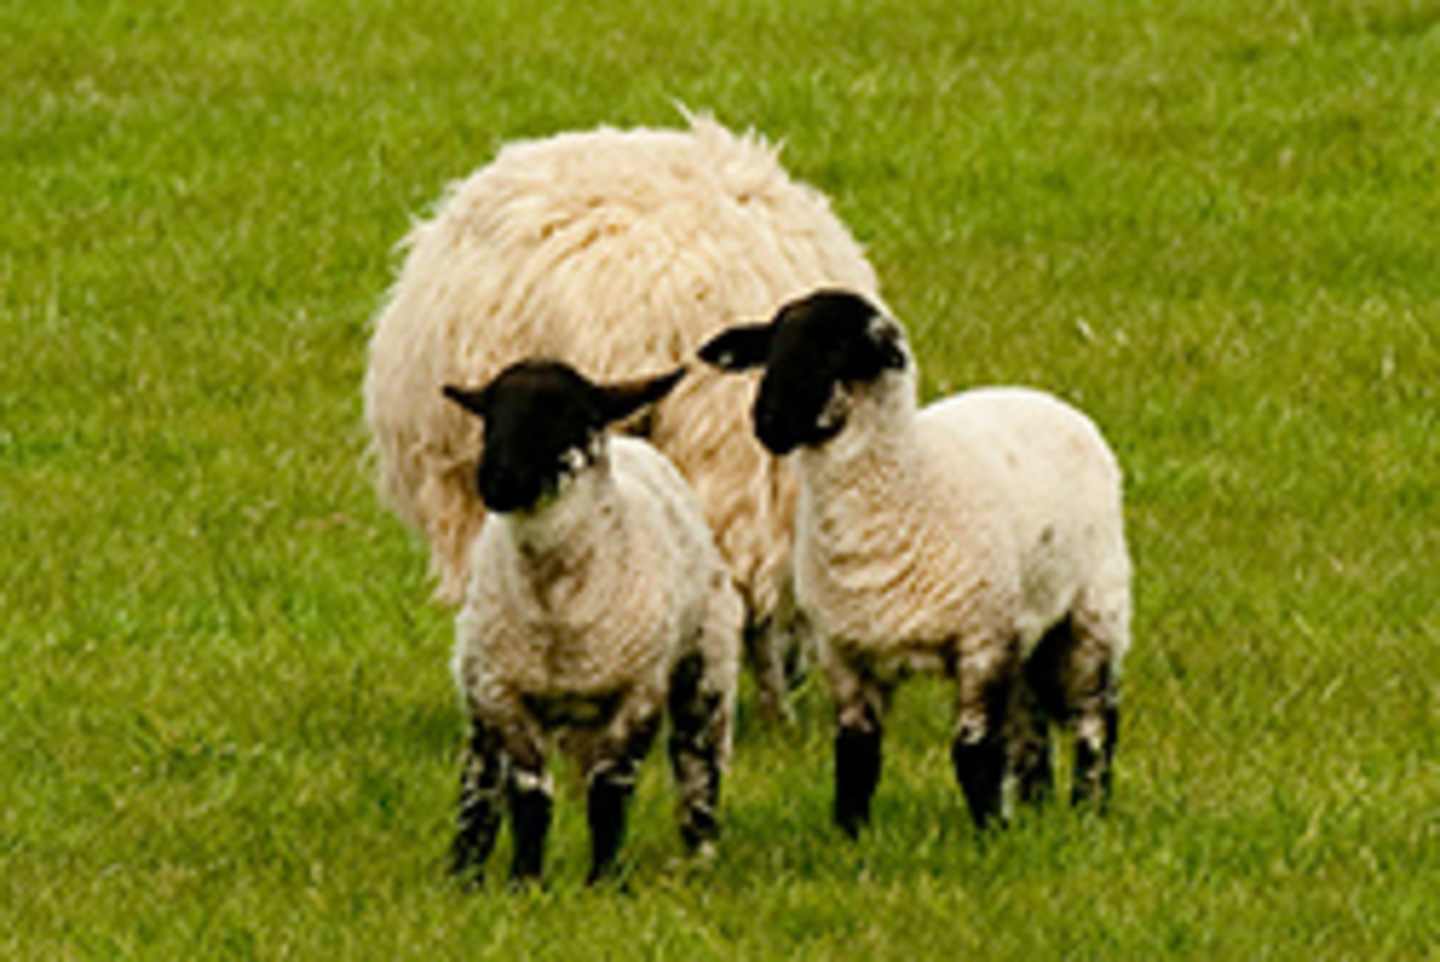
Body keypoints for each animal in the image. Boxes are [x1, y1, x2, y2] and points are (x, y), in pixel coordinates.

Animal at [441, 358, 742, 886]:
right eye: (489, 416)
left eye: (573, 416)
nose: (497, 480)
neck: (558, 611)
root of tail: (632, 443)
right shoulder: (503, 693)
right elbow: (529, 794)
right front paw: (525, 882)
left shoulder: (637, 693)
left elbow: (609, 793)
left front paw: (604, 881)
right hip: (478, 684)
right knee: (480, 778)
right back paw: (464, 871)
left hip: (706, 667)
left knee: (697, 763)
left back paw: (700, 858)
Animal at [698, 289, 1133, 834]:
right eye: (771, 347)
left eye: (836, 349)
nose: (768, 423)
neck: (908, 484)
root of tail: (1043, 398)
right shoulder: (846, 652)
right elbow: (856, 756)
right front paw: (851, 835)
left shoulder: (981, 641)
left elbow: (973, 753)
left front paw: (990, 834)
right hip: (1024, 624)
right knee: (1029, 726)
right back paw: (1035, 808)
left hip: (1095, 607)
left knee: (1096, 718)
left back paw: (1089, 810)